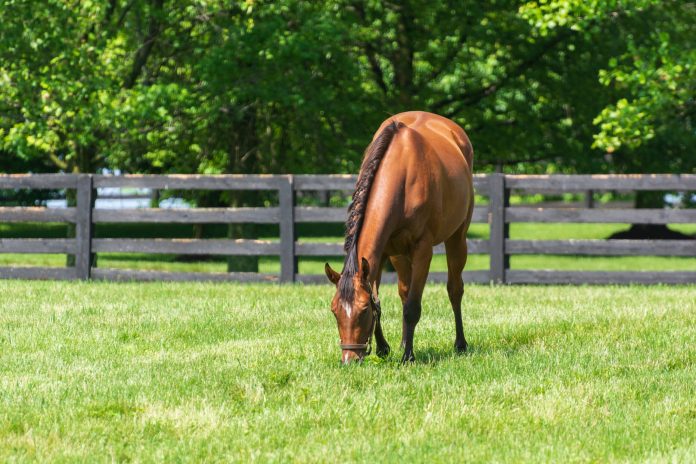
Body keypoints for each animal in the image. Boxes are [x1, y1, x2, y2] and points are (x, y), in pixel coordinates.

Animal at [324, 110, 476, 364]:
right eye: (335, 310)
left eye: (363, 310)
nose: (349, 359)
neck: (401, 175)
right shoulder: (384, 253)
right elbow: (383, 300)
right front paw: (384, 348)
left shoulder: (423, 250)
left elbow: (412, 306)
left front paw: (408, 357)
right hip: (400, 256)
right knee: (405, 291)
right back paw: (405, 341)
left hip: (457, 238)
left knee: (455, 289)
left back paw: (460, 344)